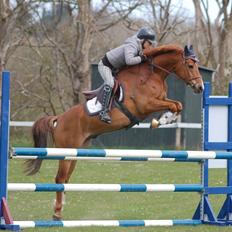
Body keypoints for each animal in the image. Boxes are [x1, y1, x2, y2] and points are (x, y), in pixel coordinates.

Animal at [24, 43, 204, 219]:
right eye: (190, 65)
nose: (200, 87)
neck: (152, 75)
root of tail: (59, 119)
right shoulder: (146, 104)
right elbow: (174, 105)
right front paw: (161, 120)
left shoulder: (160, 100)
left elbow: (177, 104)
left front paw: (165, 120)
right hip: (66, 151)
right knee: (60, 178)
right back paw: (57, 212)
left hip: (75, 152)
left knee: (66, 179)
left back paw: (59, 208)